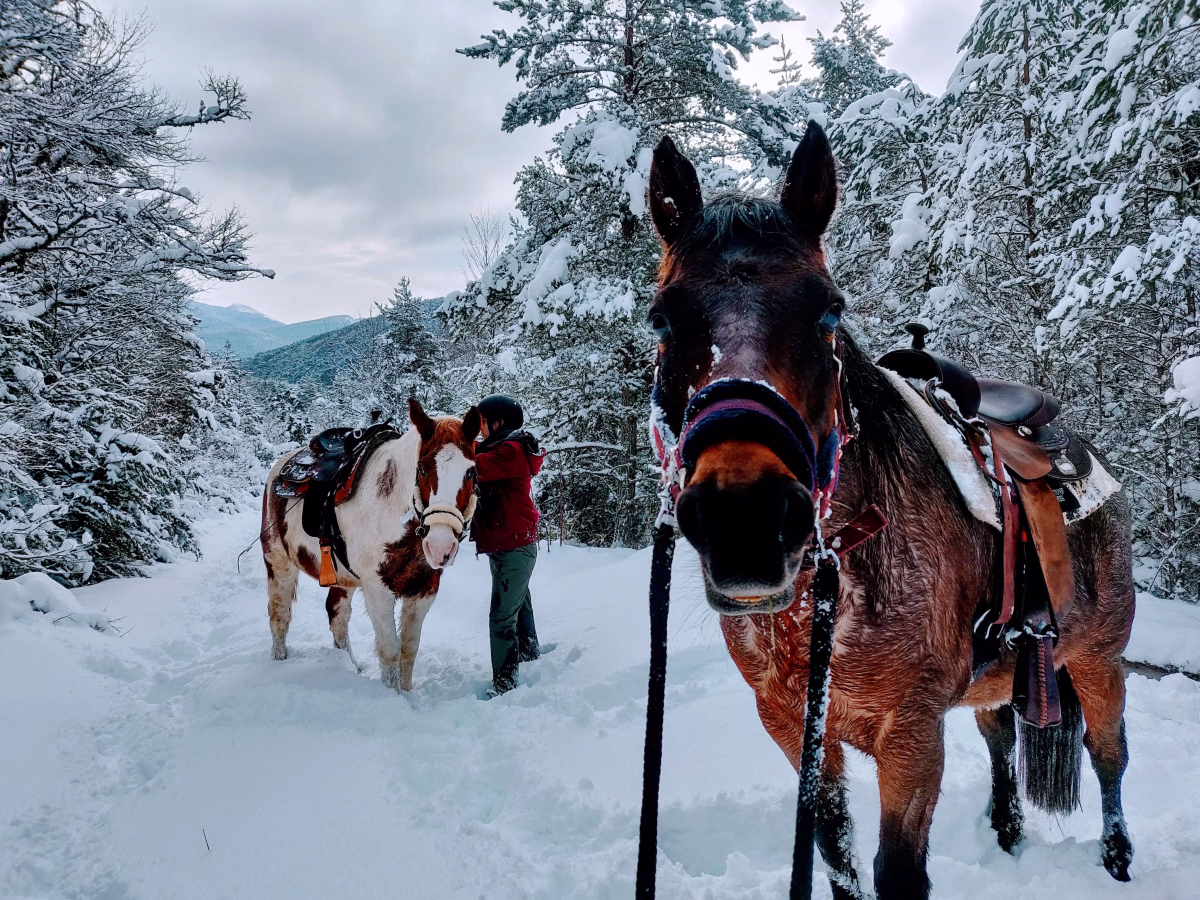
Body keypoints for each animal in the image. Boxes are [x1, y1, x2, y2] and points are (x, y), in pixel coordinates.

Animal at [261, 399, 481, 692]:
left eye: (471, 471)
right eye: (422, 469)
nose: (440, 546)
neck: (394, 510)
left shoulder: (424, 590)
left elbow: (409, 649)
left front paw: (407, 693)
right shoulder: (378, 590)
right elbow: (390, 650)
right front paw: (393, 695)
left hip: (341, 578)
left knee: (337, 617)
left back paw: (348, 665)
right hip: (278, 562)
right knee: (279, 614)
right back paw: (279, 659)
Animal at [644, 122, 1135, 898]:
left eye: (829, 309)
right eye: (662, 317)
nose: (746, 521)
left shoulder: (910, 733)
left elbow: (896, 870)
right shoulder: (792, 723)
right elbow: (835, 852)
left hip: (1099, 659)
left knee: (1108, 751)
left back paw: (1117, 855)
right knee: (1001, 735)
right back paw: (1006, 831)